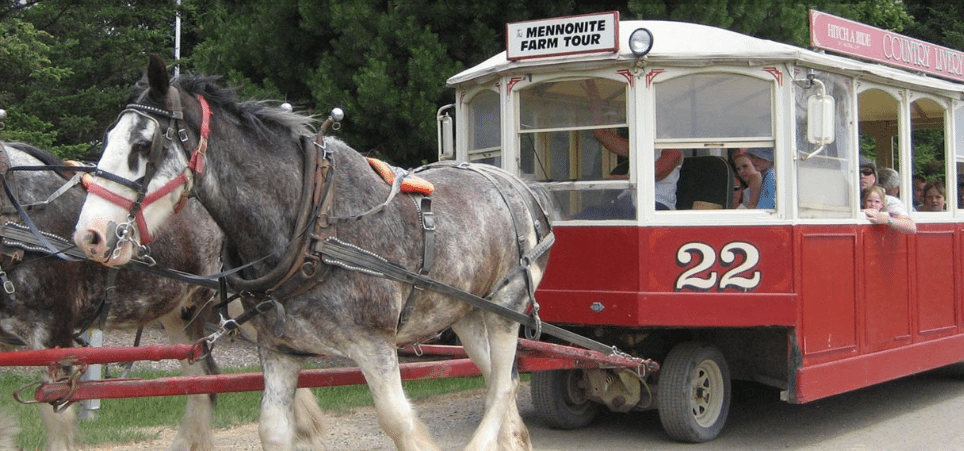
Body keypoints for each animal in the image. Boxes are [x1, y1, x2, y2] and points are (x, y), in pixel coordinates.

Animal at [73, 54, 556, 450]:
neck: (309, 228)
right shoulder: (280, 351)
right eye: (107, 139)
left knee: (501, 386)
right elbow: (272, 427)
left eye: (143, 145)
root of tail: (524, 191)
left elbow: (400, 425)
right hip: (468, 314)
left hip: (506, 309)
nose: (89, 235)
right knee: (502, 379)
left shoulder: (376, 346)